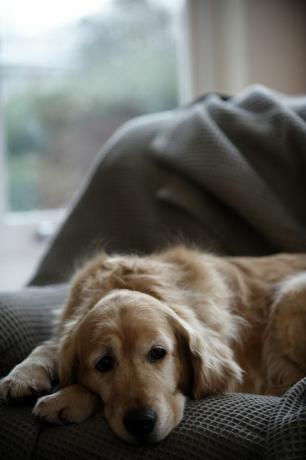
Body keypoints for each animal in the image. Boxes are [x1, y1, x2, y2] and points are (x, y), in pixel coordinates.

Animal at [0, 246, 306, 444]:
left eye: (159, 353)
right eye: (104, 363)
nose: (141, 423)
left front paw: (65, 398)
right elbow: (46, 347)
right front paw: (23, 376)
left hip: (289, 296)